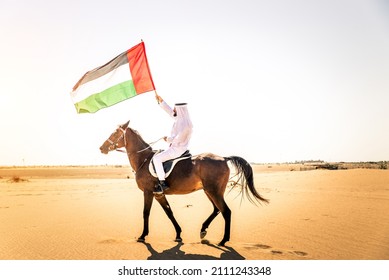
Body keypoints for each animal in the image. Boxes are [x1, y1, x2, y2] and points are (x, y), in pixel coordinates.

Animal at [99, 120, 266, 245]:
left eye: (115, 133)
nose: (102, 148)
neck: (143, 160)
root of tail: (224, 158)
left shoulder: (148, 192)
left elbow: (146, 213)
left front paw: (142, 236)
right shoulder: (159, 194)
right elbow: (169, 212)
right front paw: (178, 234)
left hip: (214, 191)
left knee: (226, 211)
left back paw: (223, 240)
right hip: (209, 191)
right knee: (216, 210)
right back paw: (203, 230)